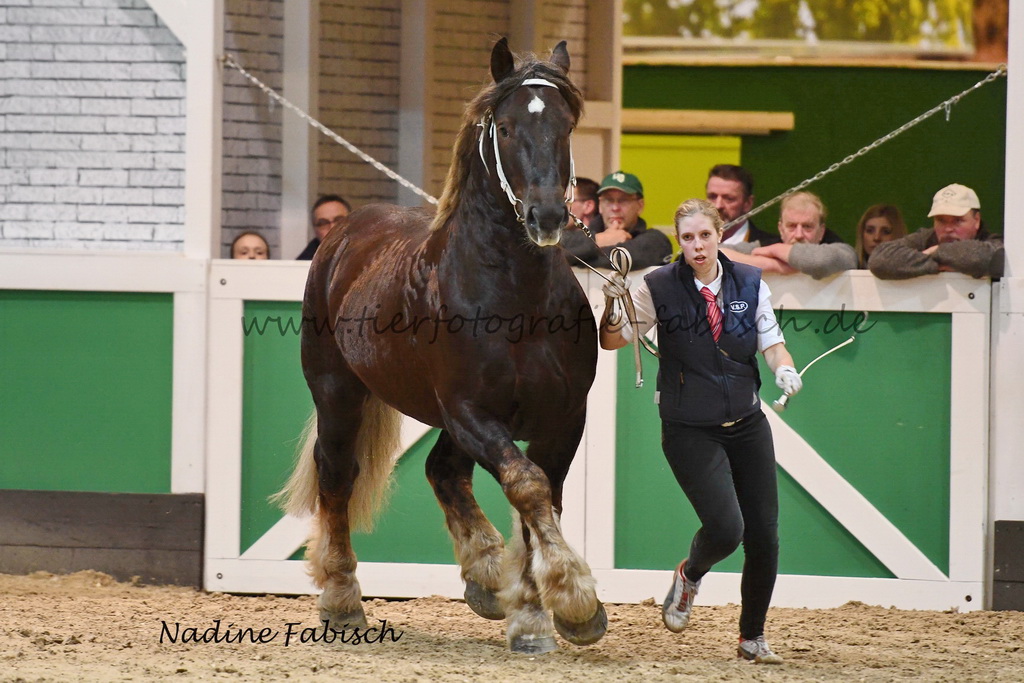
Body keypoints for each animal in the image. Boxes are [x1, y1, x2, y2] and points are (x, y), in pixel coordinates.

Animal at [275, 38, 604, 654]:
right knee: (338, 474)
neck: (515, 299)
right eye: (505, 127)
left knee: (442, 470)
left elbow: (540, 498)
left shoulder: (562, 416)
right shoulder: (472, 411)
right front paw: (571, 603)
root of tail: (343, 233)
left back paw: (485, 574)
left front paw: (537, 609)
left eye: (567, 124)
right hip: (339, 393)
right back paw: (341, 599)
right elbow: (528, 486)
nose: (547, 215)